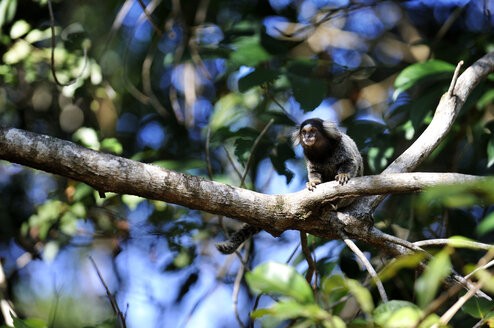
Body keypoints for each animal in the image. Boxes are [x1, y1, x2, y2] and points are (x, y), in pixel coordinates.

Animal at [216, 118, 362, 254]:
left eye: (312, 131)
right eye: (304, 132)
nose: (307, 137)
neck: (322, 151)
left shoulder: (342, 146)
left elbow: (350, 162)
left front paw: (343, 174)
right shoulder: (309, 156)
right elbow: (314, 172)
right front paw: (313, 182)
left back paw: (332, 205)